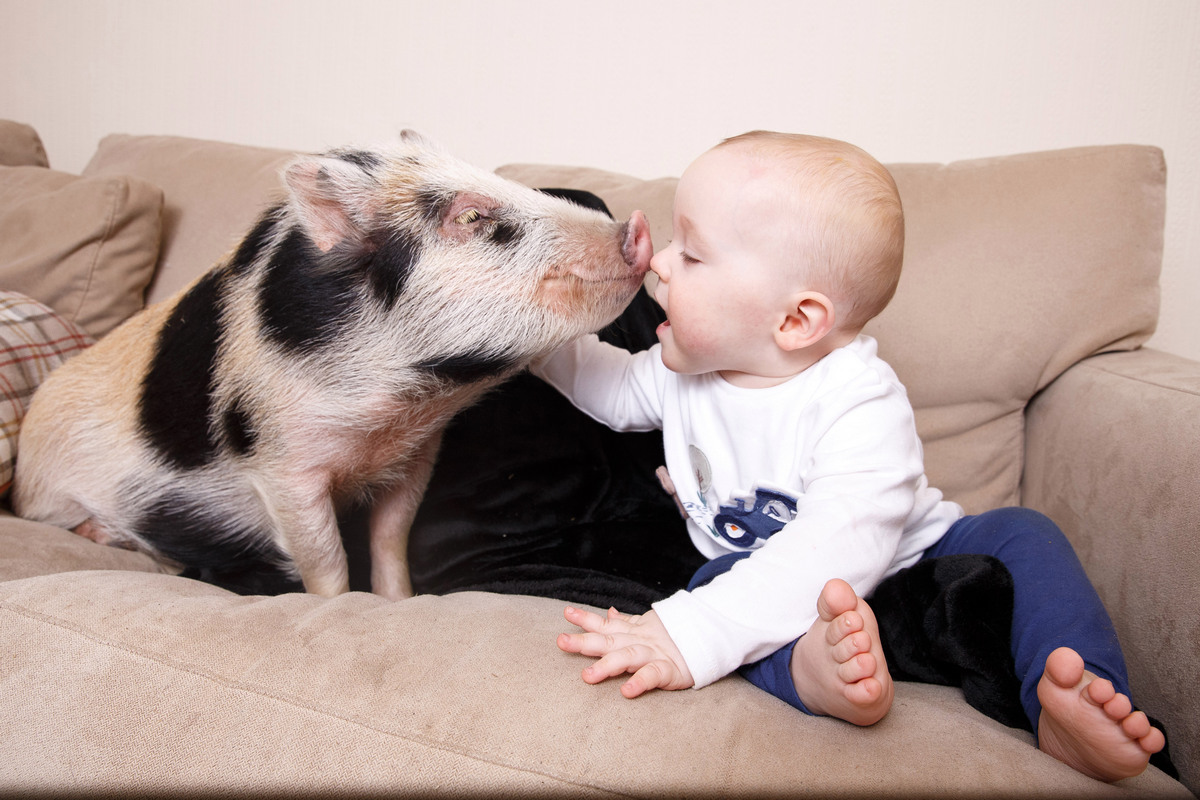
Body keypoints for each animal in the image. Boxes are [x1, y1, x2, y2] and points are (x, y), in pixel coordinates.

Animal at [11, 131, 648, 597]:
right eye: (470, 218)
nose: (636, 227)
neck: (394, 417)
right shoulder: (282, 464)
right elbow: (325, 561)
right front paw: (339, 607)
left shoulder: (416, 456)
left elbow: (391, 540)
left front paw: (397, 602)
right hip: (52, 497)